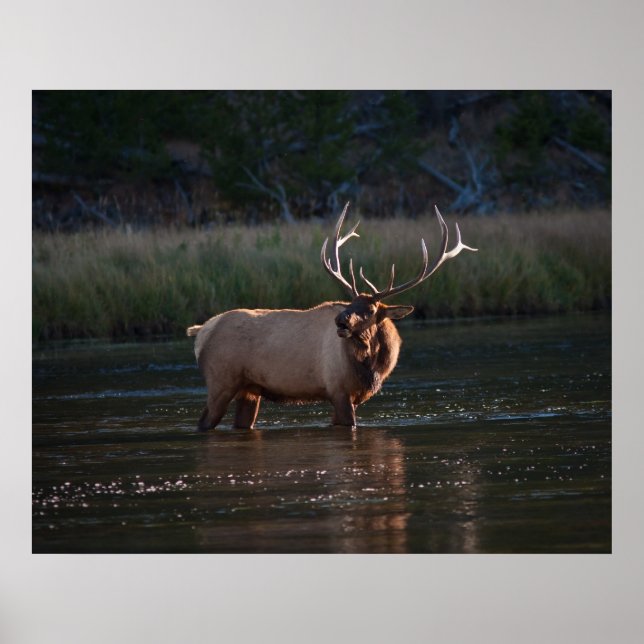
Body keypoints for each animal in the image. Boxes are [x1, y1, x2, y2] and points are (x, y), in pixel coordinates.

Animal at [187, 203, 477, 430]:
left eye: (370, 310)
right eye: (349, 304)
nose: (341, 321)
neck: (371, 368)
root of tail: (201, 331)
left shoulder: (351, 397)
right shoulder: (338, 390)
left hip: (250, 390)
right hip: (221, 381)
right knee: (204, 422)